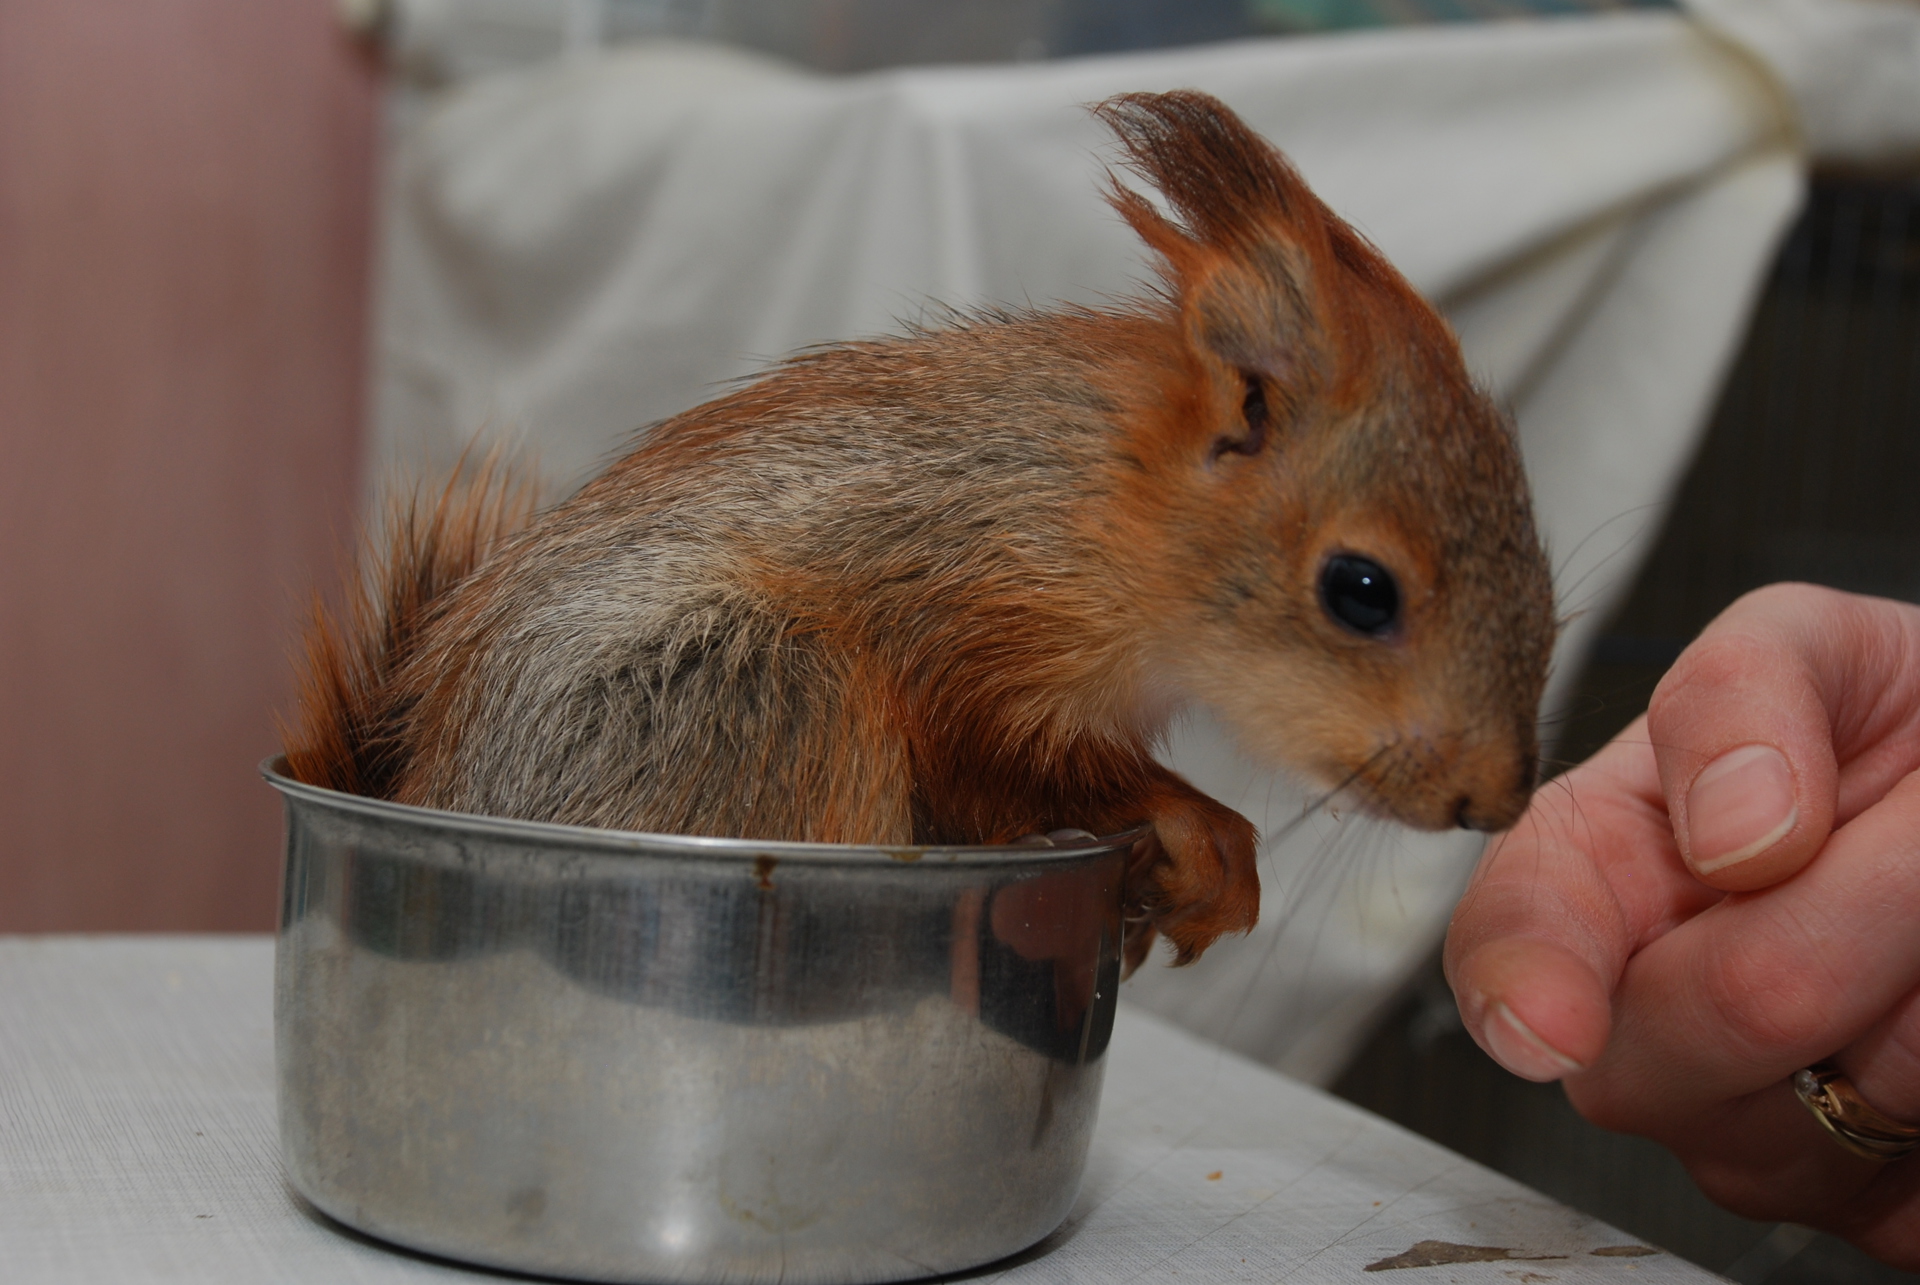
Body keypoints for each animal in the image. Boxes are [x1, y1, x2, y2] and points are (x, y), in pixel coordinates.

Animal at [291, 90, 1566, 968]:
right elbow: (1003, 760)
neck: (1107, 499)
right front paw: (1205, 833)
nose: (1499, 804)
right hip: (758, 684)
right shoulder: (966, 616)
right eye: (1362, 589)